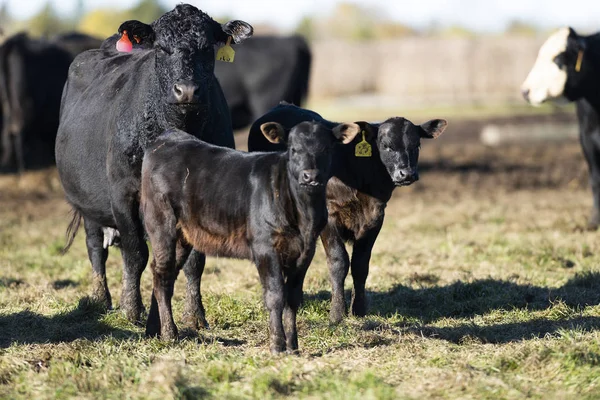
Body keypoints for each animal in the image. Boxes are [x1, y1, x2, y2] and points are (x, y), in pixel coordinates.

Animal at [55, 5, 253, 324]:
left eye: (206, 48)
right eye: (161, 48)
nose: (187, 90)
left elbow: (195, 260)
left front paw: (194, 315)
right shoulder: (123, 193)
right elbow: (135, 254)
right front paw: (132, 309)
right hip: (88, 203)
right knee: (96, 247)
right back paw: (101, 298)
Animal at [141, 120, 356, 352]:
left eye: (326, 149)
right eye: (293, 149)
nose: (311, 176)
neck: (303, 214)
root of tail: (167, 138)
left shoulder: (305, 251)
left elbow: (292, 298)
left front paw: (293, 346)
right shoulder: (265, 247)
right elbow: (275, 295)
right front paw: (277, 345)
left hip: (184, 236)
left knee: (164, 273)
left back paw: (154, 328)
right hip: (161, 224)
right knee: (162, 274)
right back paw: (169, 334)